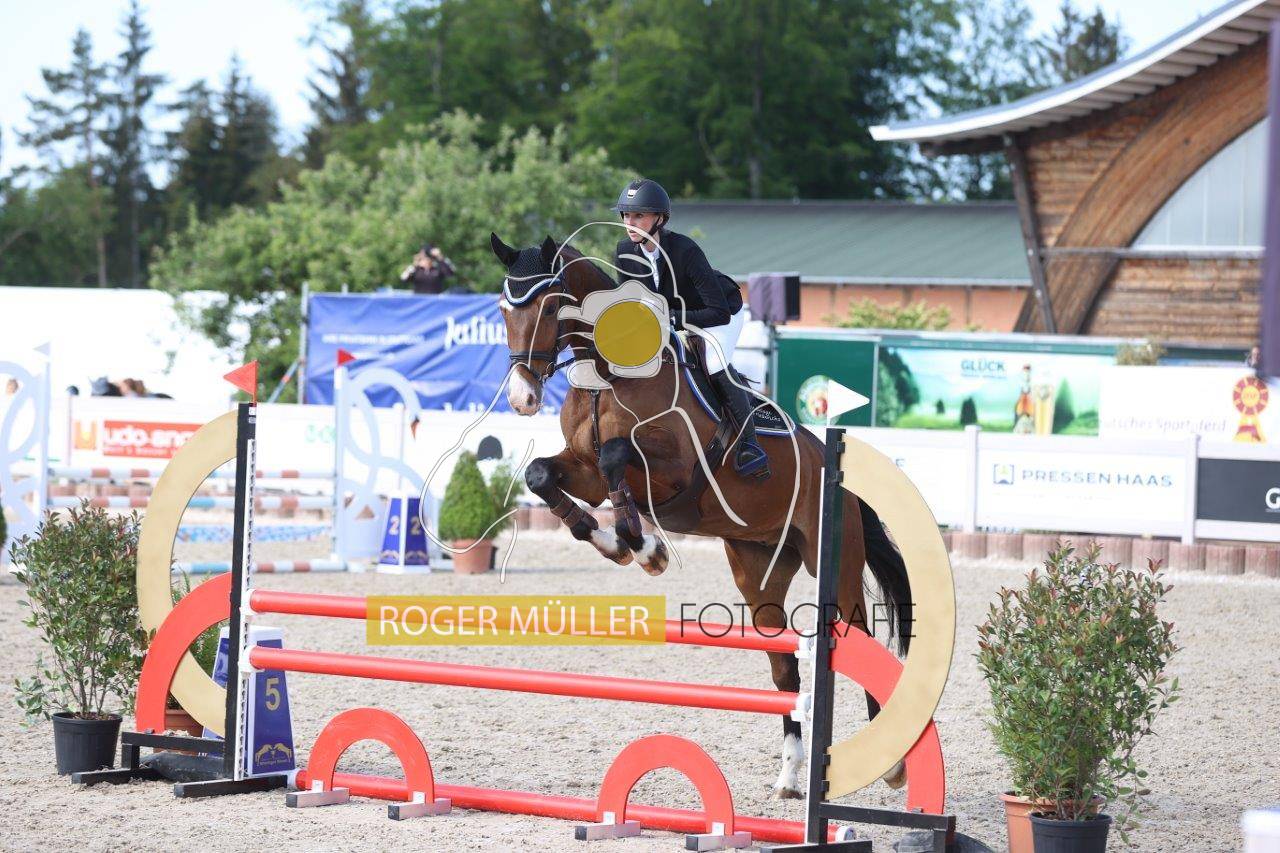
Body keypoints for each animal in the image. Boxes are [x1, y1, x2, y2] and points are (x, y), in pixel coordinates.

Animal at [489, 232, 913, 799]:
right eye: (503, 308)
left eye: (552, 306)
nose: (522, 397)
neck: (605, 376)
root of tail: (835, 464)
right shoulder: (584, 472)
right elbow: (543, 475)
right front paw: (617, 544)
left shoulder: (674, 469)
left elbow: (617, 456)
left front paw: (647, 549)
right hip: (758, 572)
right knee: (785, 669)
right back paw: (789, 776)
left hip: (836, 561)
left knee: (860, 637)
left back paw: (891, 765)